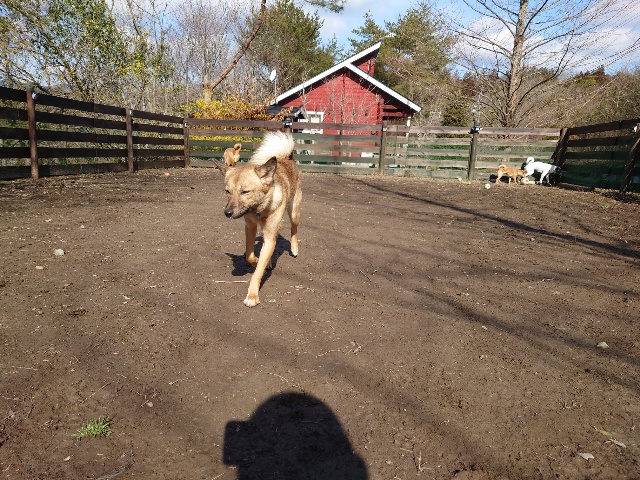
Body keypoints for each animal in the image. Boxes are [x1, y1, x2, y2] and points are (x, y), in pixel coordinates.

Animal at [213, 131, 301, 307]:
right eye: (227, 191)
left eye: (245, 192)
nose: (227, 212)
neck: (259, 209)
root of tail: (288, 158)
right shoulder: (250, 228)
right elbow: (250, 255)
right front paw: (262, 261)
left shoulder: (270, 236)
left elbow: (258, 271)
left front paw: (252, 296)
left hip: (294, 211)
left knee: (294, 228)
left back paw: (294, 248)